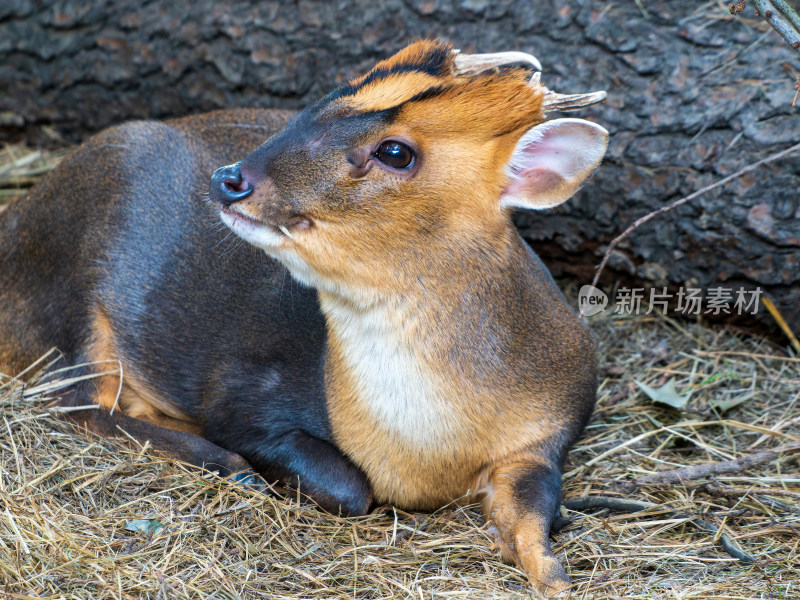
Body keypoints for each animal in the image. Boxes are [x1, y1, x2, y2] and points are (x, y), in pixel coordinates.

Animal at [1, 39, 608, 592]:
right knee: (77, 400)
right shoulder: (244, 387)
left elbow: (534, 519)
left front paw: (555, 576)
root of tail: (17, 216)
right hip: (74, 287)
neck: (427, 449)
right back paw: (225, 462)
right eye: (324, 99)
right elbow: (349, 486)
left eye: (395, 152)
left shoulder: (550, 432)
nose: (229, 178)